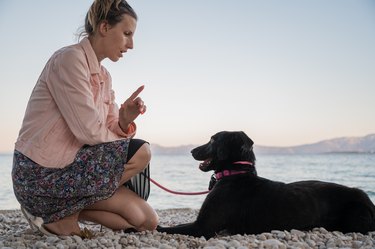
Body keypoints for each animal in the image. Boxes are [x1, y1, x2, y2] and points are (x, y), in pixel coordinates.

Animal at [158, 130, 375, 237]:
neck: (235, 174)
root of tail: (367, 199)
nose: (191, 151)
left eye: (212, 139)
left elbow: (165, 228)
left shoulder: (202, 227)